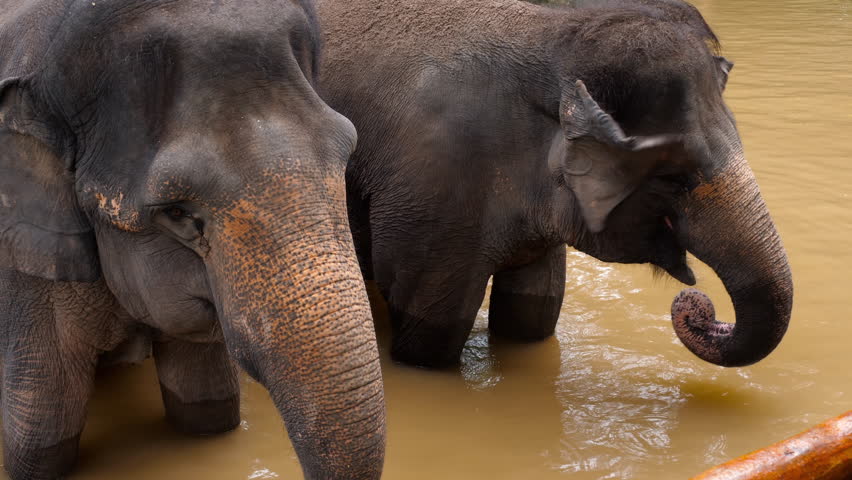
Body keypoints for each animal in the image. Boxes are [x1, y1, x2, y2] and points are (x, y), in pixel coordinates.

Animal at [316, 0, 793, 368]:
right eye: (675, 176)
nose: (698, 307)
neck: (554, 39)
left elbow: (533, 316)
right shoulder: (434, 199)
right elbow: (430, 337)